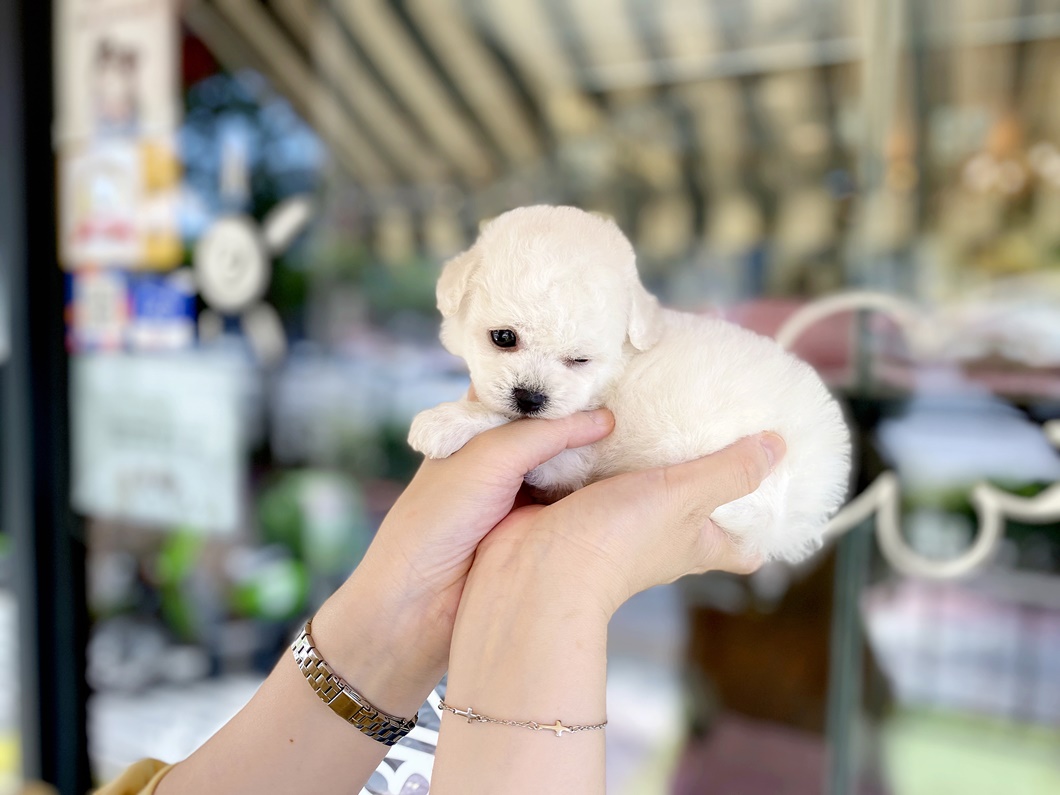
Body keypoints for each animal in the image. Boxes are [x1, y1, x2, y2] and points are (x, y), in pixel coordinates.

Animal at [408, 206, 851, 563]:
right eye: (503, 337)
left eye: (579, 360)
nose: (530, 397)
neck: (617, 369)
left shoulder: (576, 453)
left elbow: (507, 423)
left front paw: (446, 422)